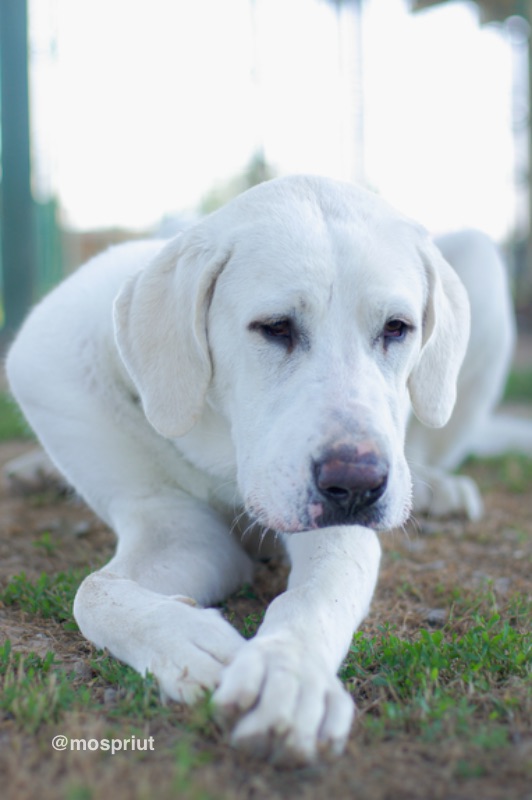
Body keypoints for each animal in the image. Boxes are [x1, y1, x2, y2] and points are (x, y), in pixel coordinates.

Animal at [5, 178, 532, 764]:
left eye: (397, 328)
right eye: (275, 327)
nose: (359, 485)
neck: (220, 452)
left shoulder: (335, 528)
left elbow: (314, 597)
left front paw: (289, 674)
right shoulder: (178, 530)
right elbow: (94, 591)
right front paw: (189, 643)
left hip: (480, 269)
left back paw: (443, 490)